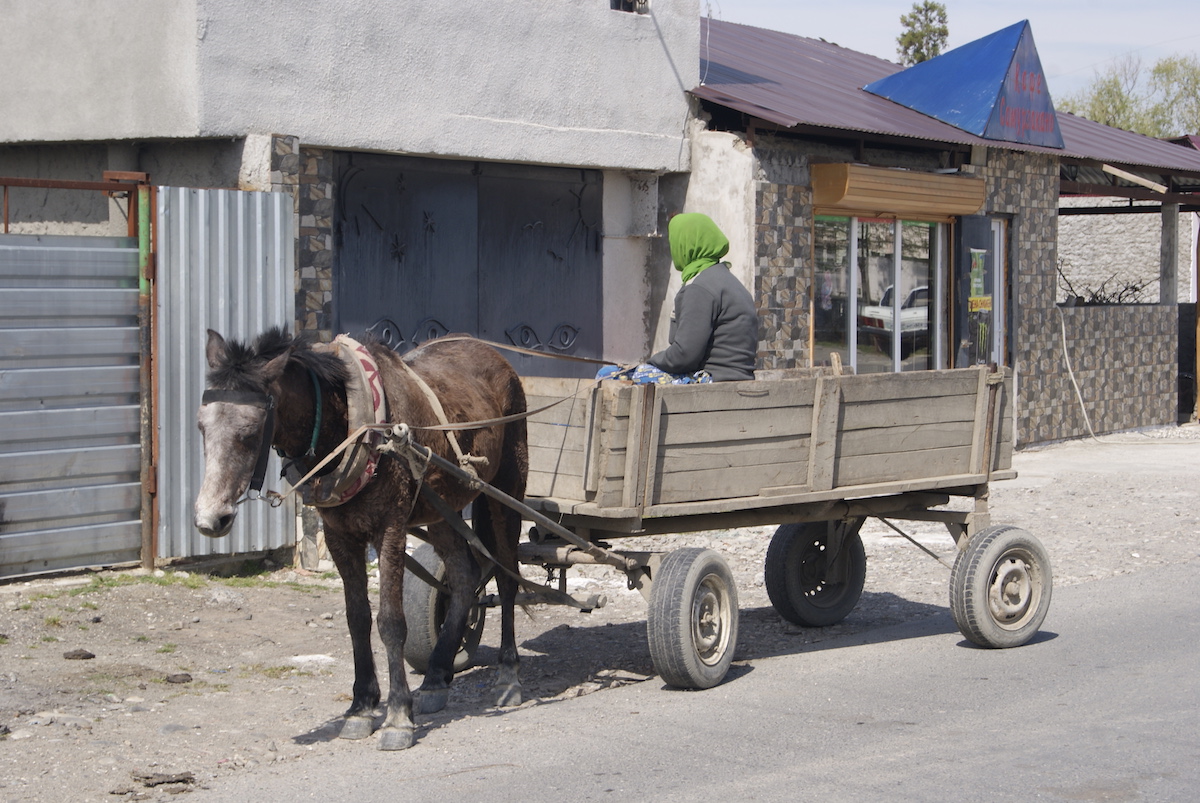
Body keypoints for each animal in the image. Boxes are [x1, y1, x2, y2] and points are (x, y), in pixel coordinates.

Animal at [193, 321, 530, 748]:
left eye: (250, 433)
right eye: (202, 426)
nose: (210, 518)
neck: (352, 430)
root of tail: (493, 354)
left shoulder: (391, 529)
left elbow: (390, 622)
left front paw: (398, 715)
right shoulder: (339, 535)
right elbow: (357, 619)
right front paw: (362, 707)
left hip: (505, 492)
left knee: (506, 577)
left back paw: (508, 675)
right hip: (440, 509)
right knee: (463, 572)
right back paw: (436, 676)